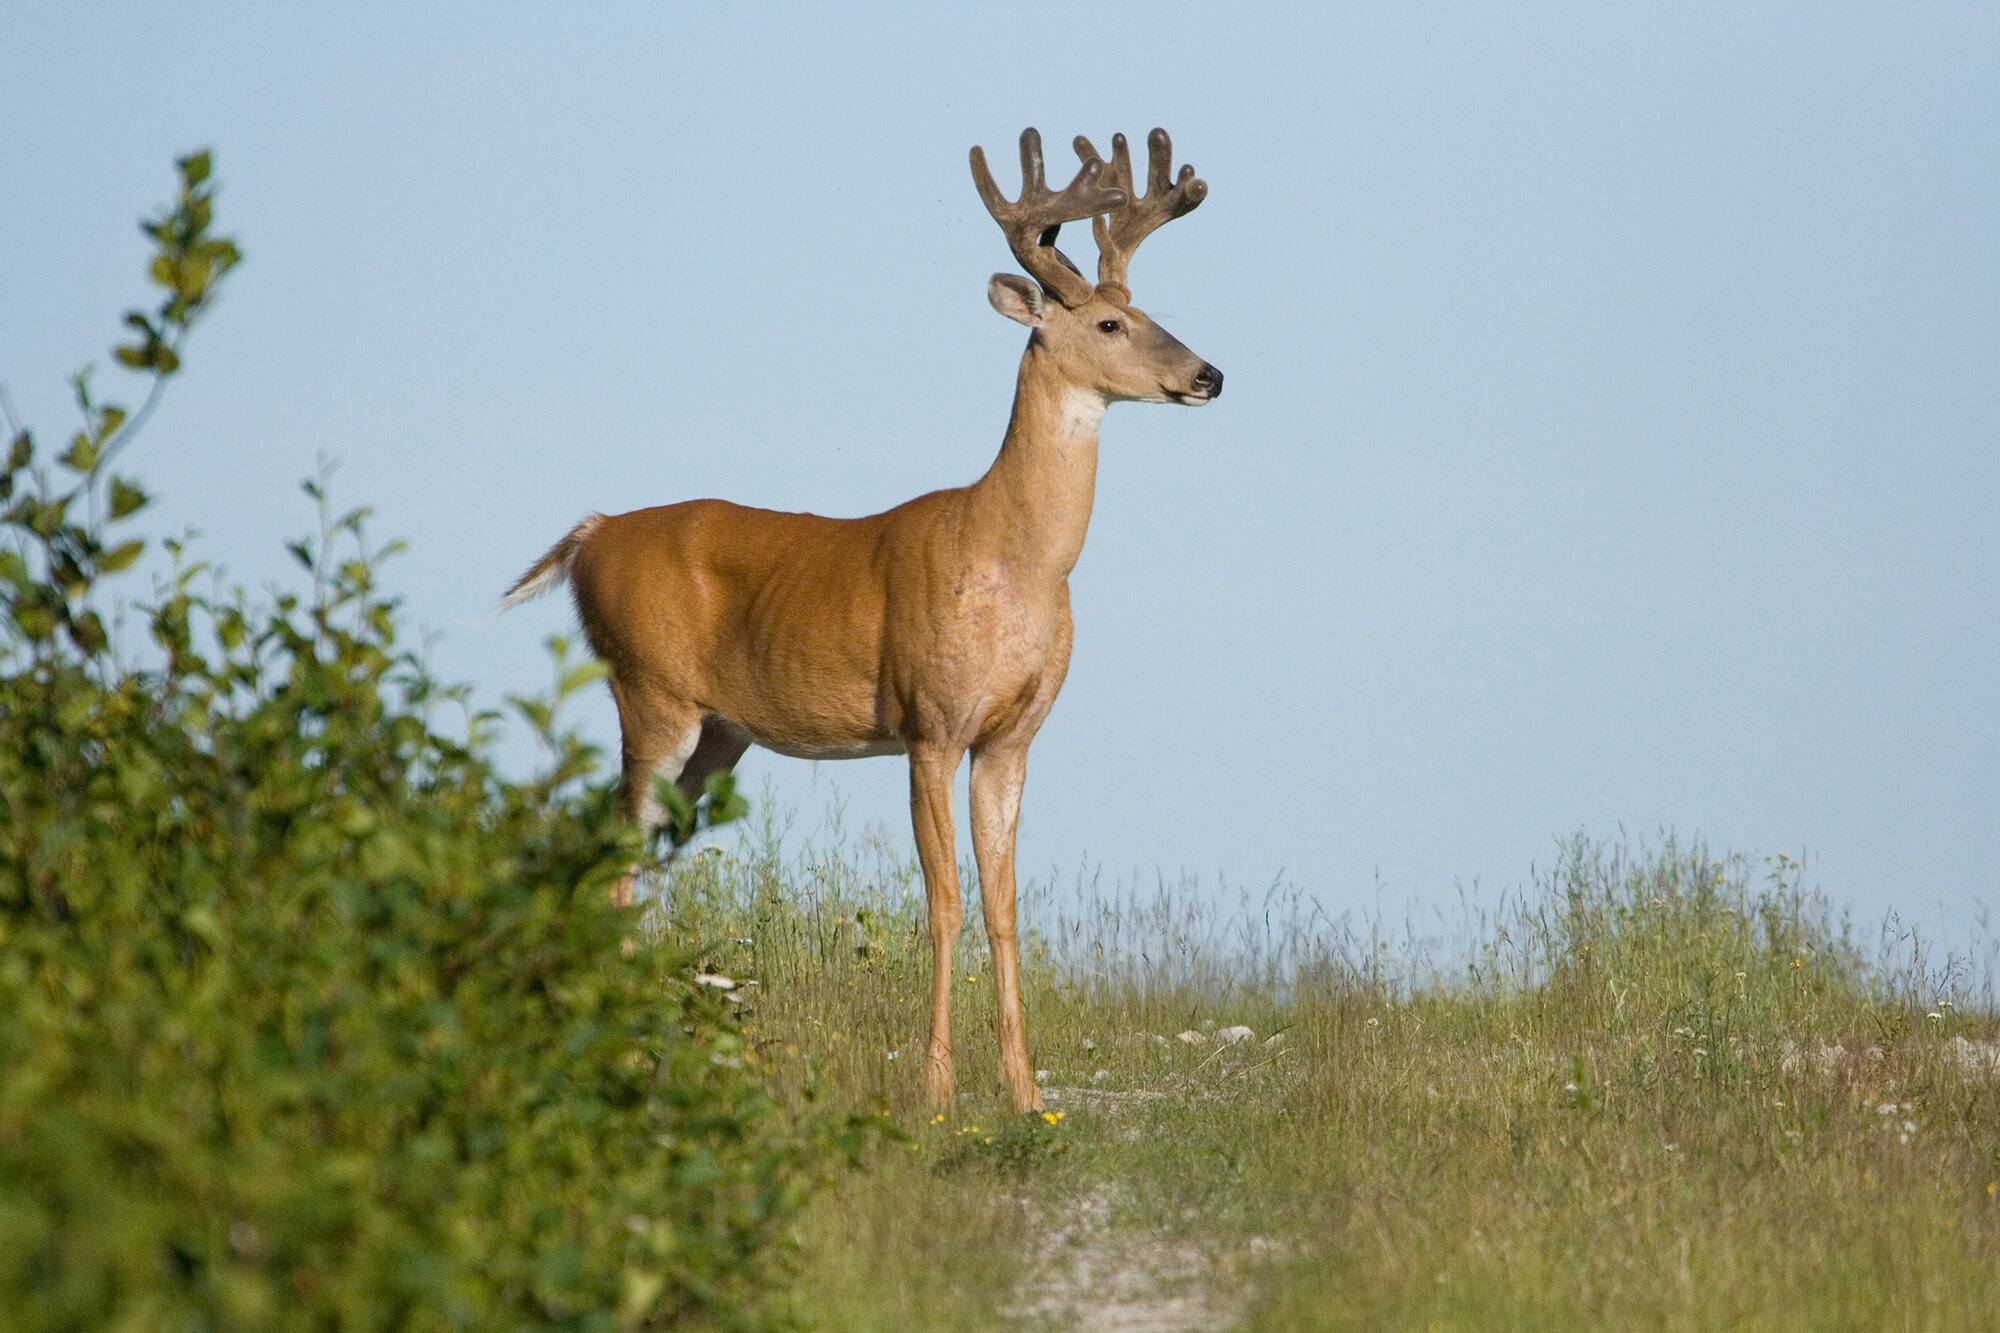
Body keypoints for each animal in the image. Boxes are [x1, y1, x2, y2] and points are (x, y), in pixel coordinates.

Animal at [504, 127, 1216, 1112]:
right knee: (611, 852)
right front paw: (937, 1090)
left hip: (718, 733)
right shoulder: (928, 721)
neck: (1012, 557)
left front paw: (1026, 1091)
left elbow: (1004, 905)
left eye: (1145, 308)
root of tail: (592, 531)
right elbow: (944, 902)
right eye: (1109, 325)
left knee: (635, 856)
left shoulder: (1012, 736)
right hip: (649, 691)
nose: (1210, 373)